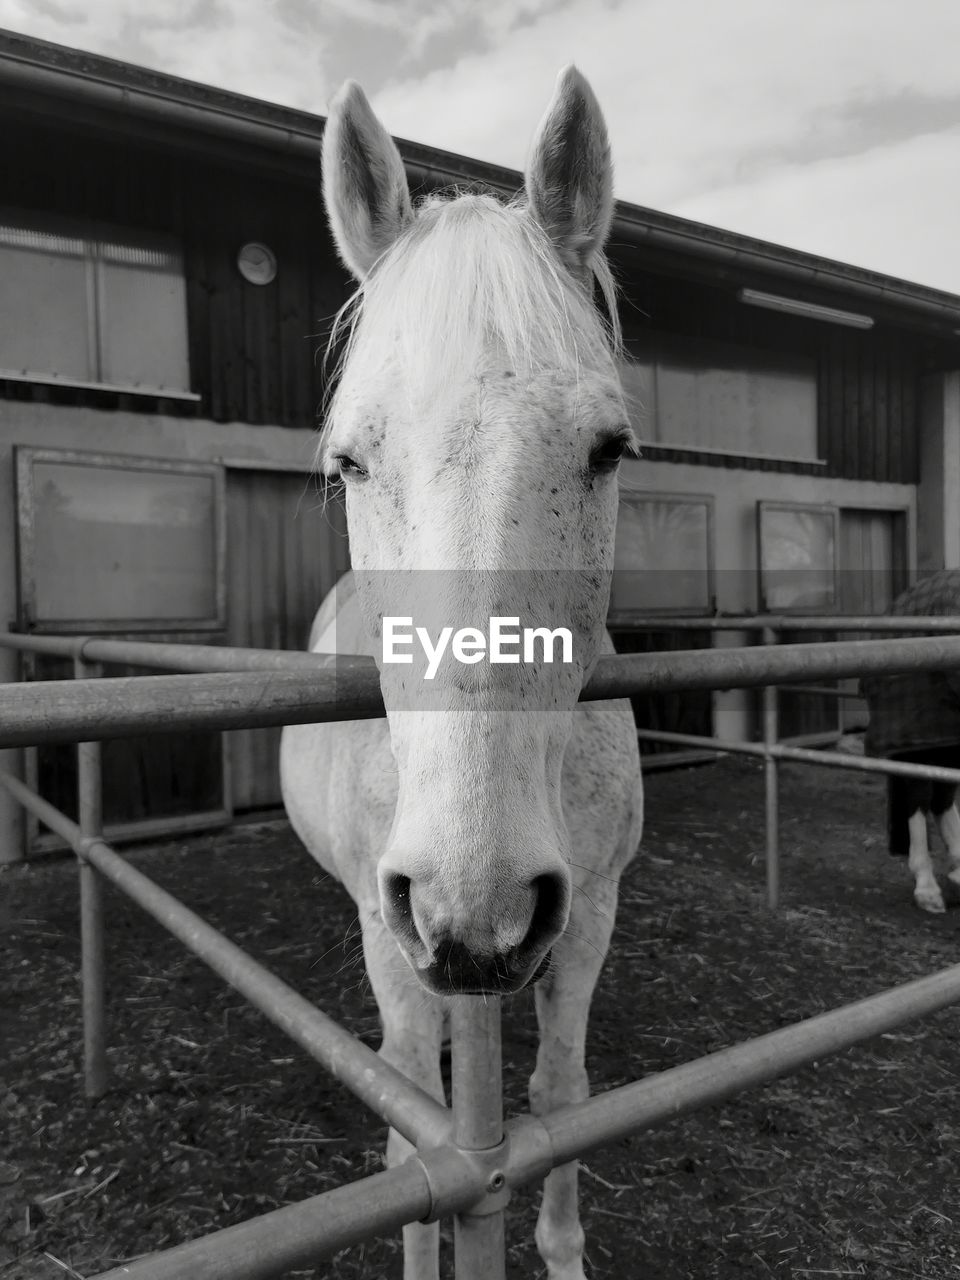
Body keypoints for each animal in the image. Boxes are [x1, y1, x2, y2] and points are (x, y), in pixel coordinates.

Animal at [284, 67, 647, 1280]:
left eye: (608, 448)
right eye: (350, 461)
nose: (473, 900)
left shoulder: (589, 911)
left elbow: (563, 1093)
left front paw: (565, 1248)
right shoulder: (389, 929)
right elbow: (415, 1140)